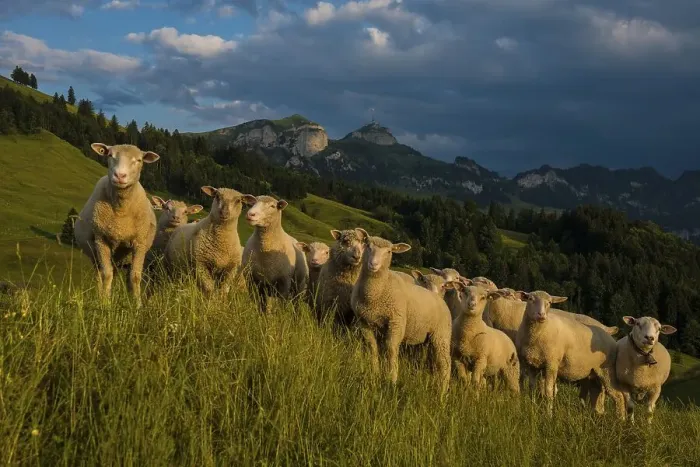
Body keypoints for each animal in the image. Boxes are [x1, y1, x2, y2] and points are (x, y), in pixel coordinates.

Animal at [73, 143, 160, 306]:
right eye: (109, 155)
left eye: (139, 160)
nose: (120, 176)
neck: (121, 210)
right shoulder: (101, 240)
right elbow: (106, 274)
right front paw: (105, 303)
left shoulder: (139, 243)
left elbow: (135, 277)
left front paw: (137, 305)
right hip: (95, 254)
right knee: (100, 274)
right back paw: (99, 296)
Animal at [351, 233, 452, 395]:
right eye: (367, 246)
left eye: (389, 252)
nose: (373, 264)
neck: (375, 293)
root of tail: (439, 299)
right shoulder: (364, 322)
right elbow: (372, 348)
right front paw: (374, 373)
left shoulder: (396, 322)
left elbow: (391, 350)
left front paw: (391, 379)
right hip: (424, 339)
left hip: (441, 334)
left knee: (445, 363)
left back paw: (442, 393)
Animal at [513, 290, 626, 418]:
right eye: (530, 299)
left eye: (549, 302)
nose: (541, 315)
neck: (537, 334)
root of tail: (610, 336)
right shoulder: (532, 364)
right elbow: (532, 389)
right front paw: (532, 410)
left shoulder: (551, 364)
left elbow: (548, 391)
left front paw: (549, 415)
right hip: (594, 373)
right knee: (597, 392)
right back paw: (597, 414)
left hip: (607, 370)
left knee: (618, 395)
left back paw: (620, 419)